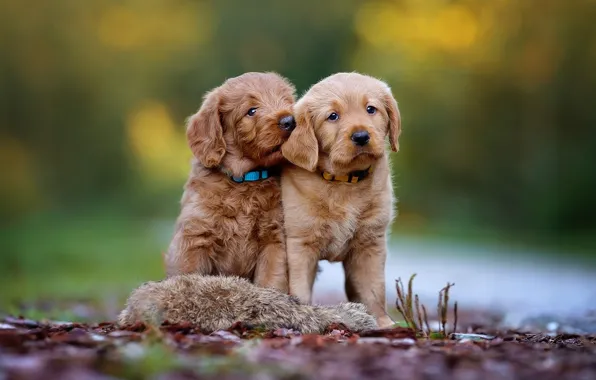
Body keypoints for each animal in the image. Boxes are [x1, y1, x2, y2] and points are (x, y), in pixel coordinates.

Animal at [164, 71, 296, 292]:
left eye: (287, 102)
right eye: (251, 111)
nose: (289, 121)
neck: (244, 181)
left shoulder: (274, 241)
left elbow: (271, 281)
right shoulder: (194, 238)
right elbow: (188, 275)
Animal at [280, 72, 400, 328]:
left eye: (371, 109)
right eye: (332, 116)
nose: (361, 136)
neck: (344, 182)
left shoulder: (370, 243)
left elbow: (374, 289)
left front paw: (382, 323)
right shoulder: (299, 245)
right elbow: (300, 289)